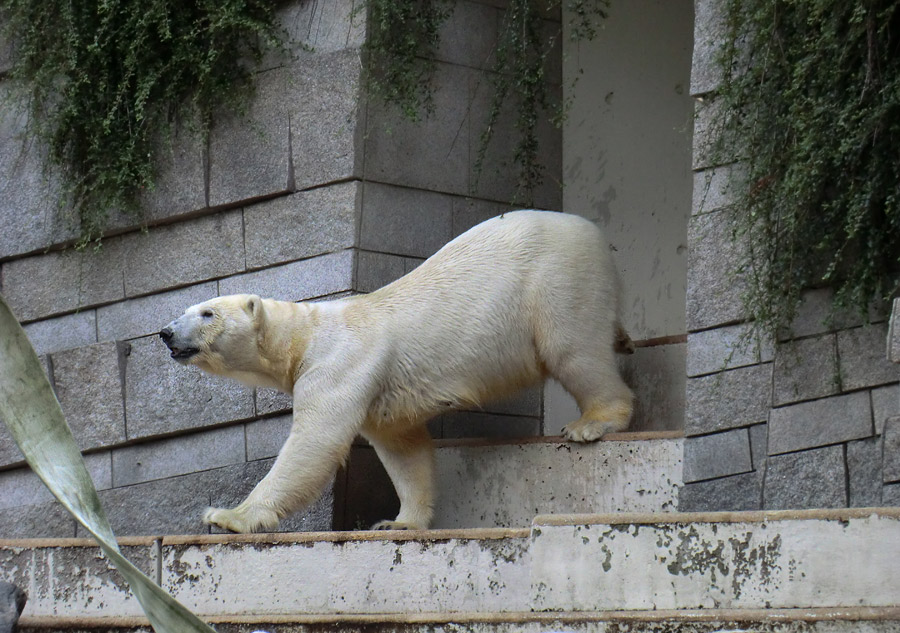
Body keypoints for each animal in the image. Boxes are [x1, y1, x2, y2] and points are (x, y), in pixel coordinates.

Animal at [160, 210, 632, 532]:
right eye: (185, 308)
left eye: (206, 313)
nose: (165, 332)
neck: (303, 338)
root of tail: (592, 231)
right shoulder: (379, 394)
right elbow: (402, 447)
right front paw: (399, 521)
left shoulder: (340, 365)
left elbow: (315, 441)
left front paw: (227, 515)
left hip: (558, 279)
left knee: (575, 349)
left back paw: (593, 422)